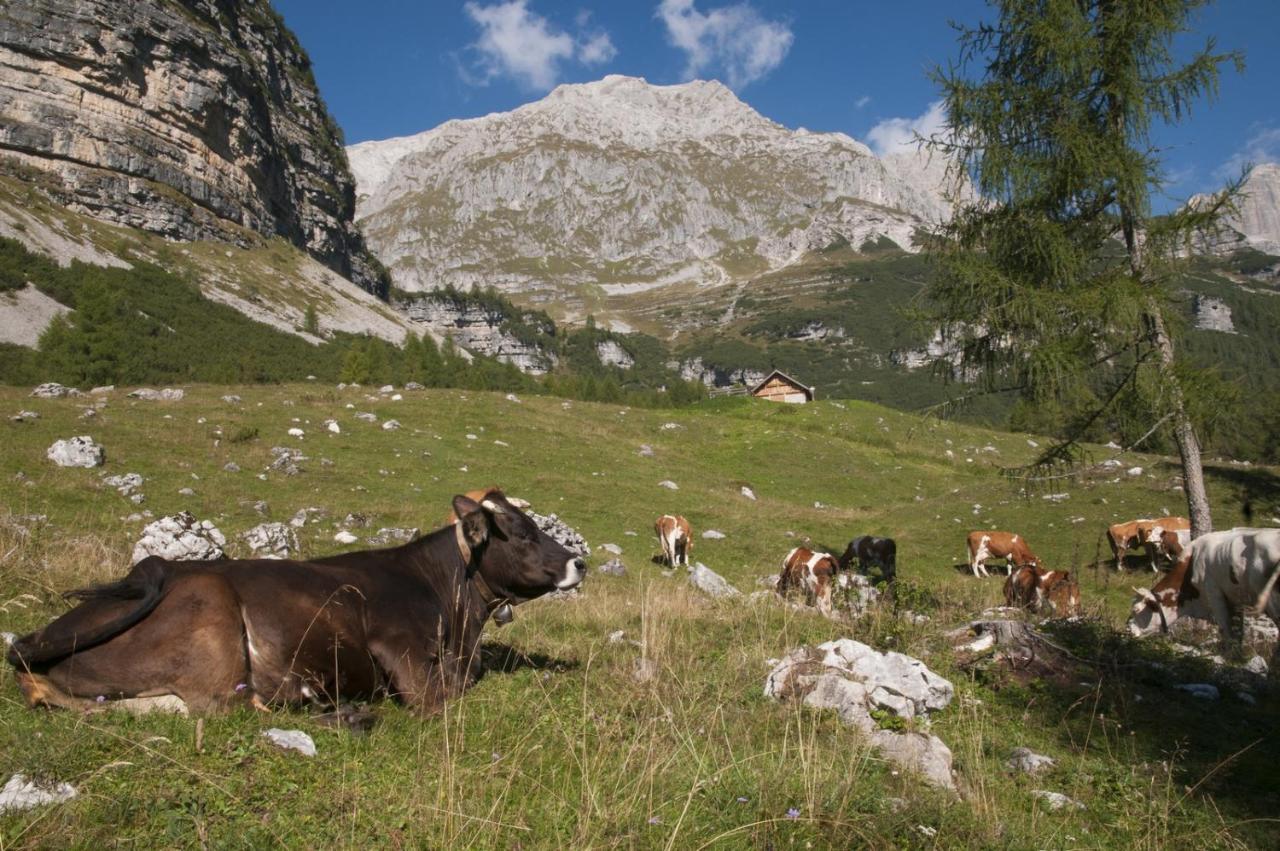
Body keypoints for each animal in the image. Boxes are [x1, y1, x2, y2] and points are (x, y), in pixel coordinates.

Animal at [1131, 524, 1280, 637]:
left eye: (1136, 610)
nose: (1128, 628)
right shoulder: (1236, 599)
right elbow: (1238, 632)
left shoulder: (1214, 595)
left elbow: (1226, 631)